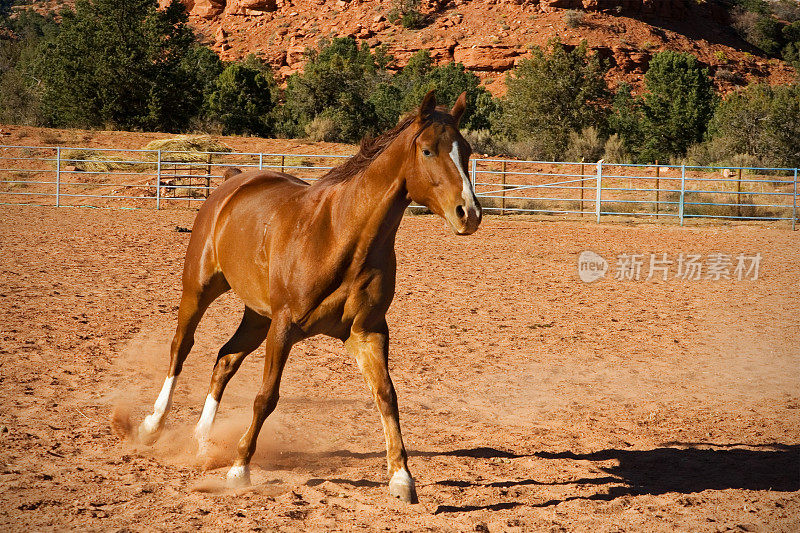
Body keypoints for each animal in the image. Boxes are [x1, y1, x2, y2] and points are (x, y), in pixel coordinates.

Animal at [126, 89, 482, 500]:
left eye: (466, 150)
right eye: (427, 151)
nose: (469, 213)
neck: (340, 236)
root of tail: (233, 181)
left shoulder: (368, 332)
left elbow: (386, 396)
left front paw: (401, 478)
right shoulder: (284, 327)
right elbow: (266, 397)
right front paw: (239, 470)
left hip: (256, 315)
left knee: (225, 360)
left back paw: (202, 442)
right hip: (199, 290)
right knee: (181, 348)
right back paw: (152, 426)